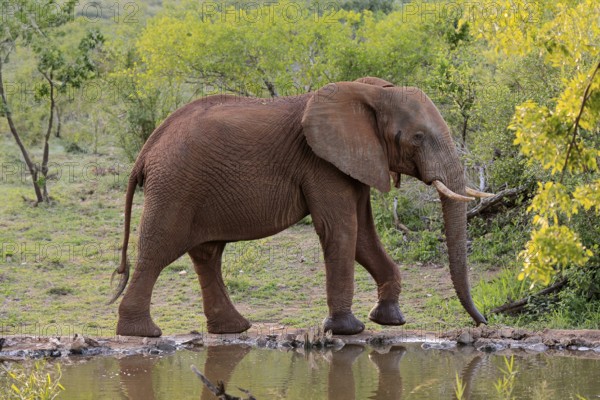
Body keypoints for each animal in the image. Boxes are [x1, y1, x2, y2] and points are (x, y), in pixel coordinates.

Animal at [110, 76, 490, 336]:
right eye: (417, 138)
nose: (482, 322)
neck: (369, 93)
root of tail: (147, 148)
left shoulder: (354, 160)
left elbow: (364, 235)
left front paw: (390, 320)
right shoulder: (321, 163)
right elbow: (342, 230)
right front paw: (348, 329)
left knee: (207, 255)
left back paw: (233, 328)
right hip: (175, 186)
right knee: (158, 251)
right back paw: (143, 333)